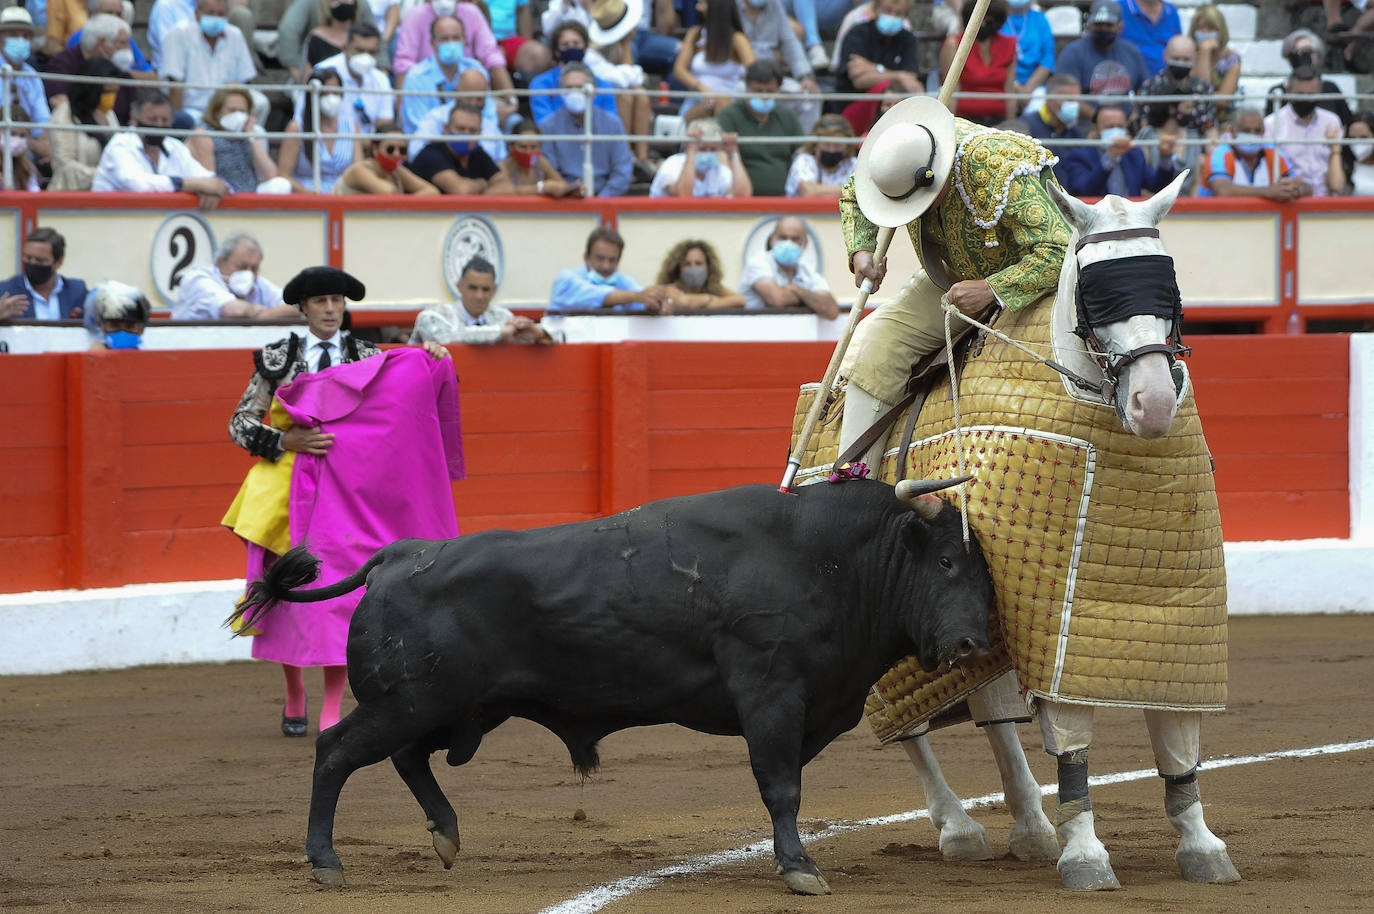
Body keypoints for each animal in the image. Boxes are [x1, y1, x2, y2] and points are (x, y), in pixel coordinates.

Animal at [230, 478, 994, 890]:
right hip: (406, 702)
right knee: (335, 751)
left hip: (454, 708)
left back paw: (445, 837)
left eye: (981, 566)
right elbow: (782, 786)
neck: (832, 560)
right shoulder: (771, 695)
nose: (973, 642)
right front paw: (798, 867)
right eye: (947, 562)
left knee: (408, 758)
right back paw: (326, 862)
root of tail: (398, 556)